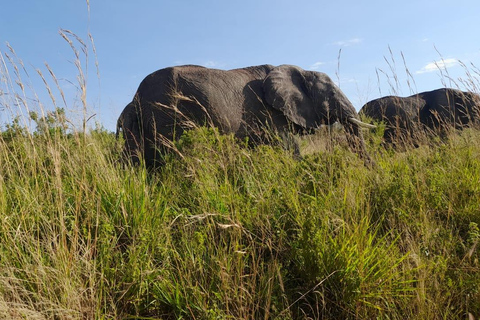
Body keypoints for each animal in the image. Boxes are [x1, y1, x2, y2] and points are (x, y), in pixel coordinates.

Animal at [118, 63, 376, 166]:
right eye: (331, 93)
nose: (373, 171)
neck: (300, 70)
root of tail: (135, 97)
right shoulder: (271, 114)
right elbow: (289, 149)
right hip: (165, 114)